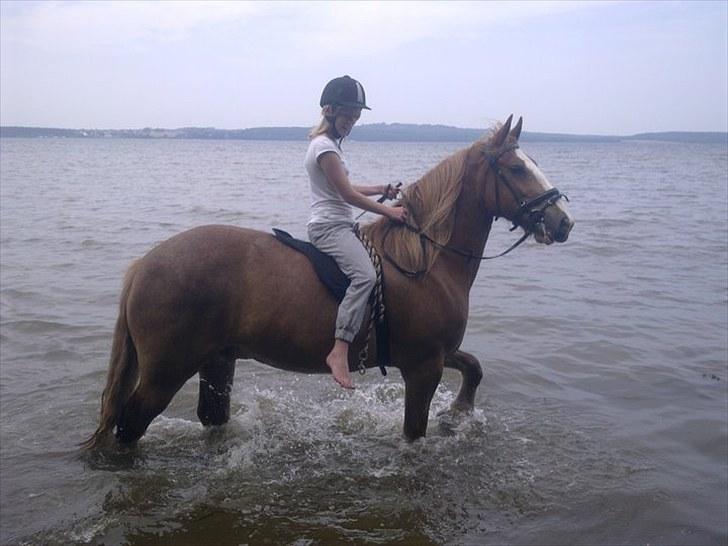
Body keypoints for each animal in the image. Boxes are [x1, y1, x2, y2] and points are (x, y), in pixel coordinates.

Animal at [84, 113, 576, 446]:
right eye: (517, 169)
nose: (563, 221)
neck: (425, 261)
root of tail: (143, 265)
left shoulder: (435, 352)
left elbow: (473, 367)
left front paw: (458, 414)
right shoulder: (423, 366)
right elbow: (414, 433)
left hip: (217, 359)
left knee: (210, 417)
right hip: (166, 371)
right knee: (129, 425)